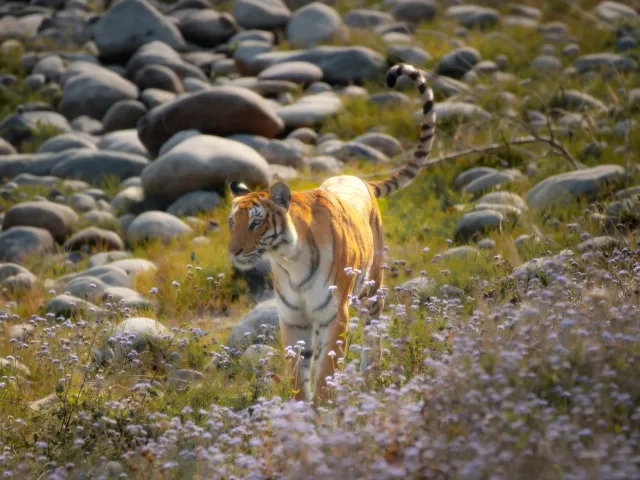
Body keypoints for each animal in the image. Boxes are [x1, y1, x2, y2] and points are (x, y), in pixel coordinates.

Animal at [227, 63, 436, 403]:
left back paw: (371, 377)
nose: (233, 251)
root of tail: (359, 179)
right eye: (233, 222)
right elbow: (297, 373)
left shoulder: (335, 315)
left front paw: (324, 409)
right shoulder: (293, 320)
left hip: (372, 290)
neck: (289, 260)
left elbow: (326, 370)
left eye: (256, 223)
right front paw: (299, 410)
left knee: (374, 334)